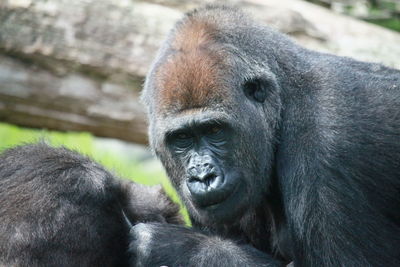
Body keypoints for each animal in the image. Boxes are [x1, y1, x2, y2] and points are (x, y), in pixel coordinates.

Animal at [130, 4, 400, 267]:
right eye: (182, 138)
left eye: (214, 130)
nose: (203, 177)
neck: (284, 99)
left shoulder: (329, 143)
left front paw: (171, 245)